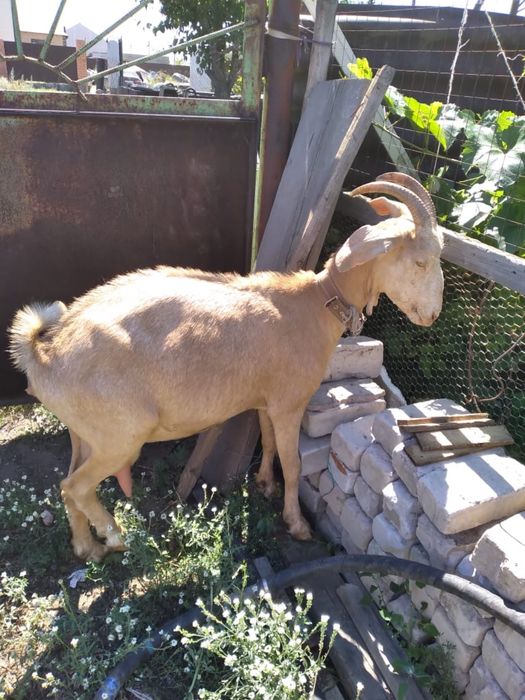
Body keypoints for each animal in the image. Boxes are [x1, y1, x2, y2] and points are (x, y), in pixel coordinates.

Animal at [8, 172, 444, 562]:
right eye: (422, 261)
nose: (433, 315)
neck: (316, 304)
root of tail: (44, 352)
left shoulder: (266, 400)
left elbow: (268, 442)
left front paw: (264, 484)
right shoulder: (289, 403)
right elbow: (293, 462)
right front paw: (297, 524)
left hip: (84, 433)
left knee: (66, 485)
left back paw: (88, 548)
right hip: (120, 436)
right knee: (77, 486)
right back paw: (115, 538)